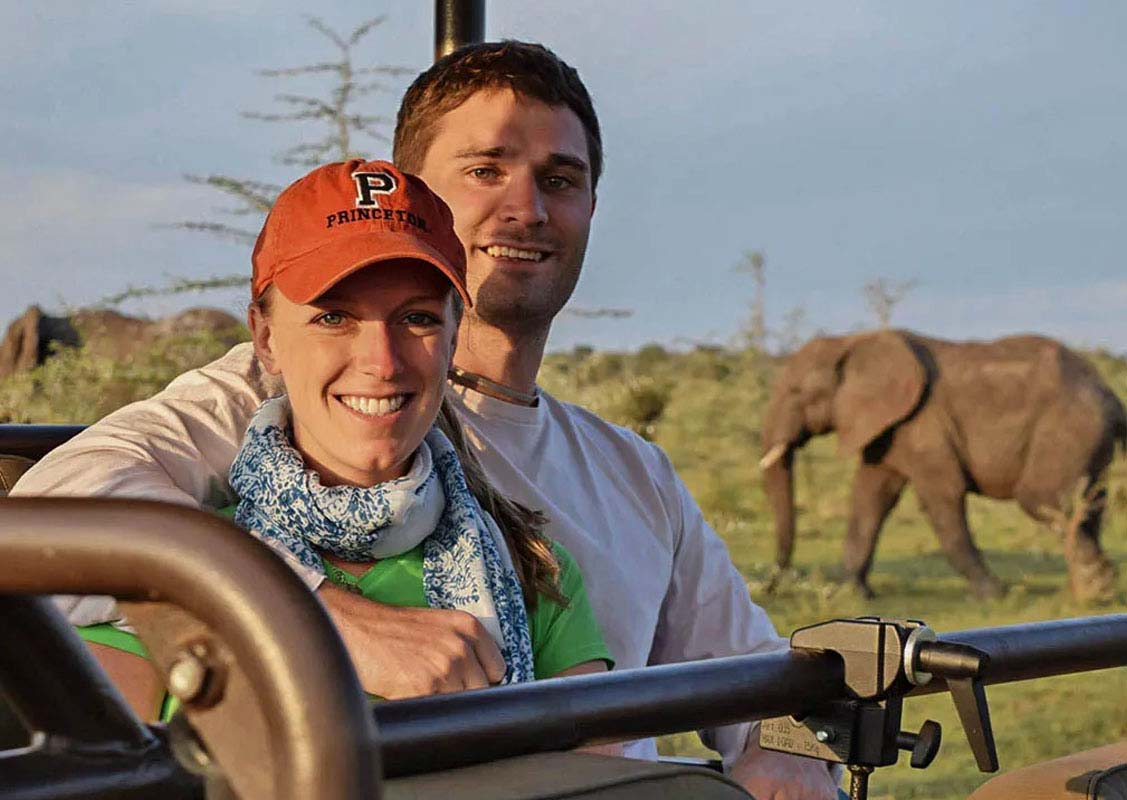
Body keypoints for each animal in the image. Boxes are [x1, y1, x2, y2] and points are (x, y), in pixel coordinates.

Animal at [759, 330, 1125, 601]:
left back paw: (1094, 591)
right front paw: (852, 596)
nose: (775, 585)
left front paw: (994, 596)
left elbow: (940, 497)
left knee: (1043, 498)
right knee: (1090, 501)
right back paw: (1091, 590)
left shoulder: (924, 424)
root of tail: (1111, 396)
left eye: (796, 392)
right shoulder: (889, 428)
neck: (850, 341)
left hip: (1068, 428)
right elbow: (871, 498)